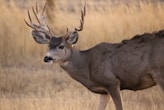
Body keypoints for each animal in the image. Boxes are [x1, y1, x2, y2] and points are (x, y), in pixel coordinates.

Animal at [24, 2, 164, 110]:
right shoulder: (103, 91)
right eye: (48, 46)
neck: (87, 66)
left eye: (61, 46)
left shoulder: (112, 82)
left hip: (160, 74)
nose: (47, 58)